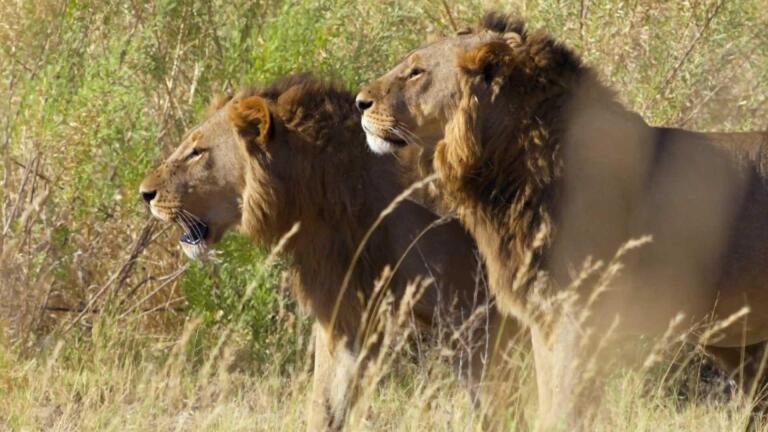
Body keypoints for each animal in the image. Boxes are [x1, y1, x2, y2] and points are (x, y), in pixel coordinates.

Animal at [140, 74, 520, 432]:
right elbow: (324, 405)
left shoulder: (477, 316)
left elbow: (497, 406)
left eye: (197, 152)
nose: (145, 194)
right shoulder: (344, 315)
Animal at [356, 11, 768, 430]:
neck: (505, 173)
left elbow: (564, 408)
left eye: (416, 72)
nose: (360, 102)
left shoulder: (579, 315)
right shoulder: (546, 317)